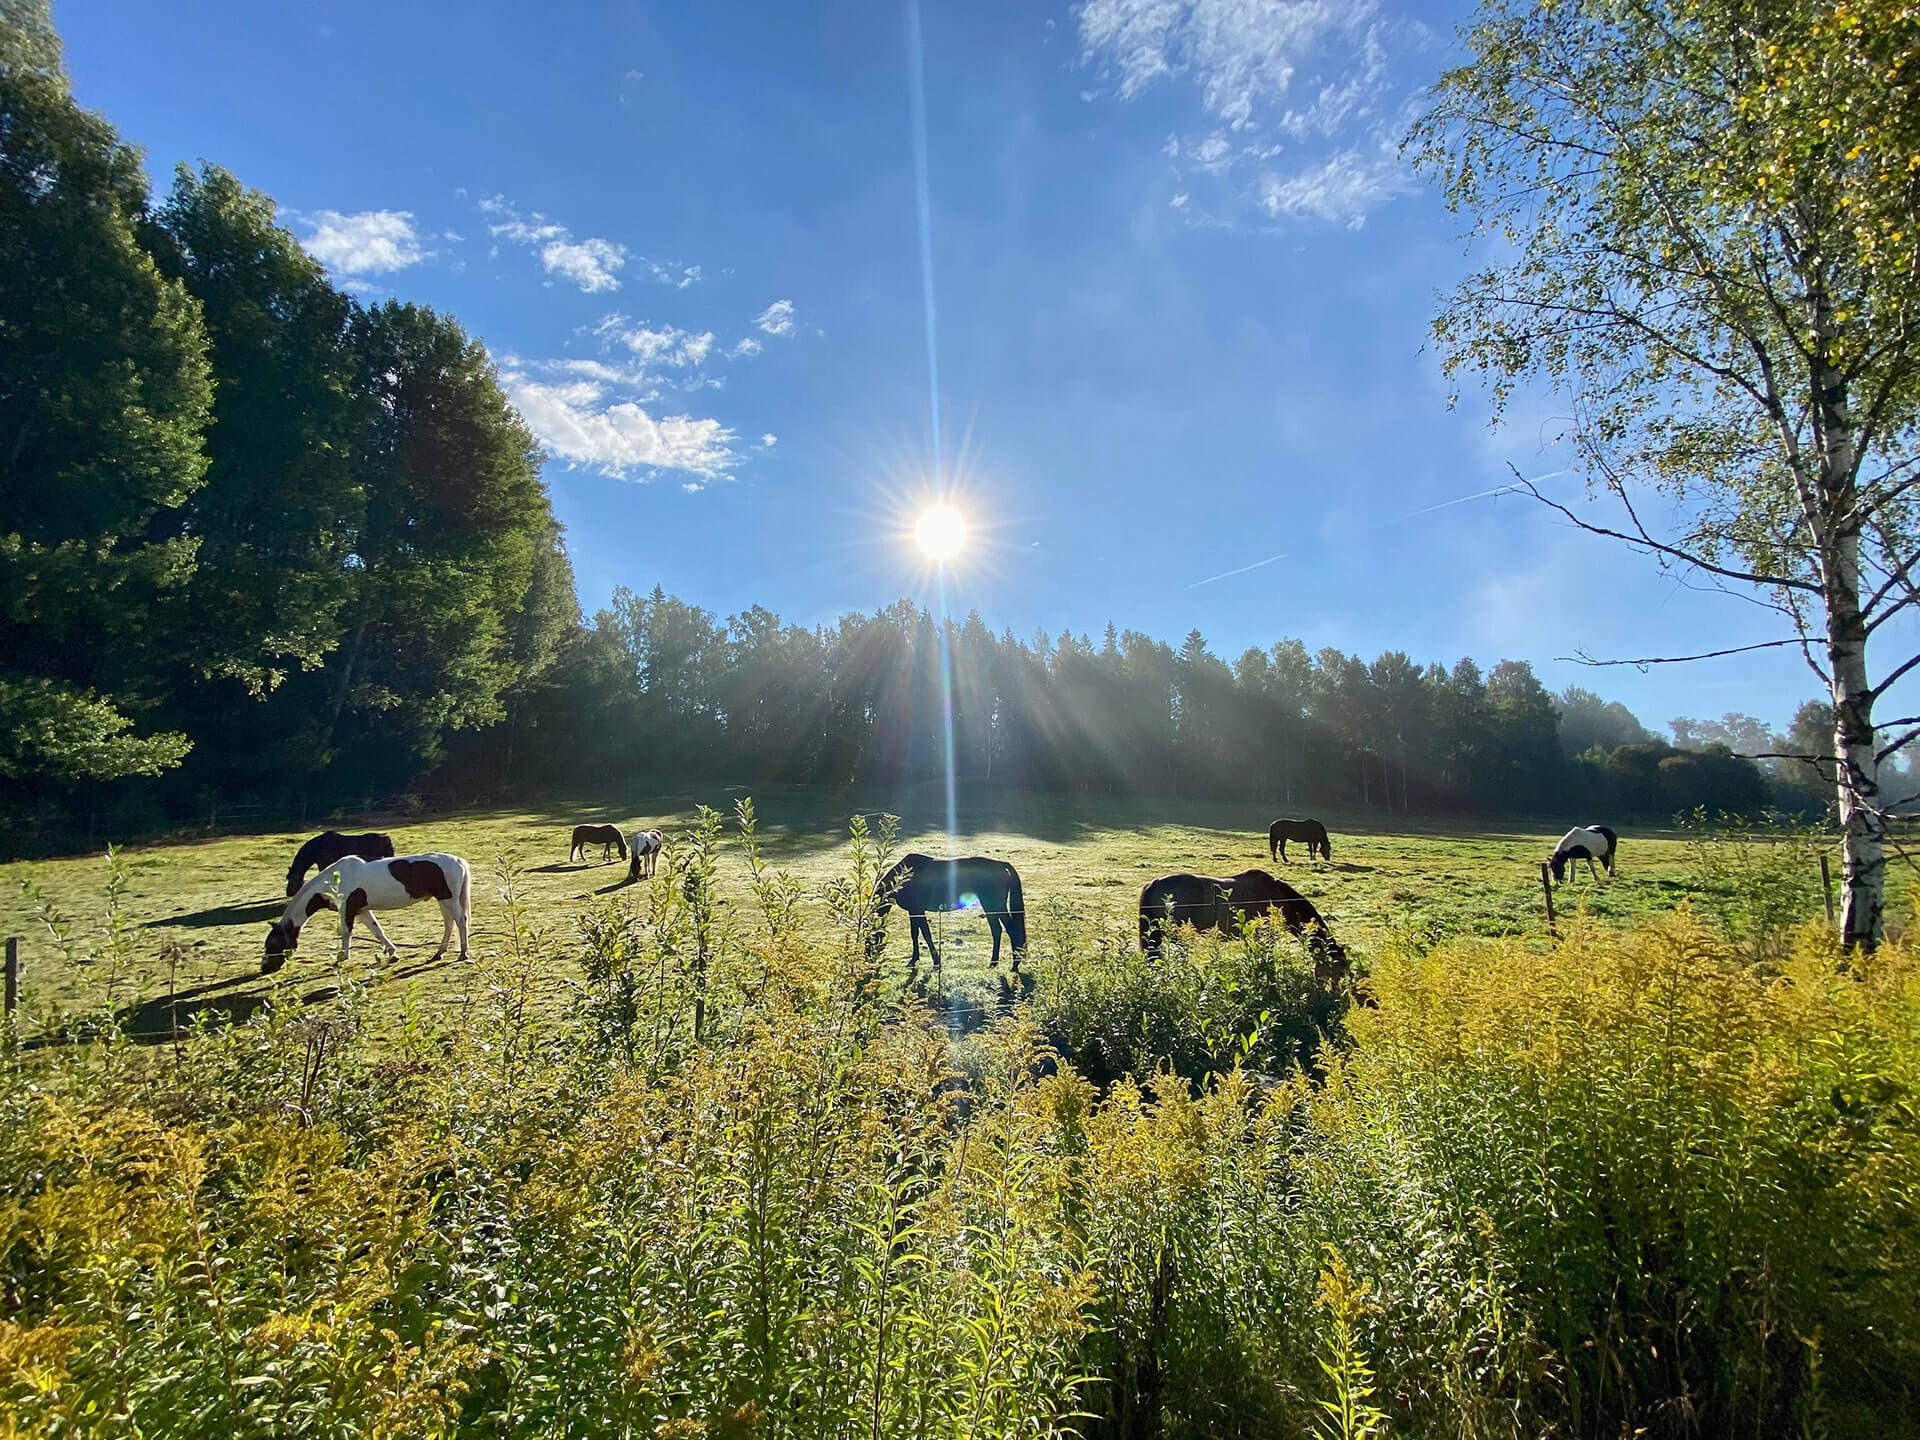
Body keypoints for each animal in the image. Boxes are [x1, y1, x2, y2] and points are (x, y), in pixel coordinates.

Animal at [266, 852, 472, 975]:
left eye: (273, 944)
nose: (265, 968)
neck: (334, 881)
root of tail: (459, 861)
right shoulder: (362, 911)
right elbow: (377, 931)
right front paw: (393, 953)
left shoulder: (347, 911)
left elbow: (346, 933)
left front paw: (342, 958)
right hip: (443, 900)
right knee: (449, 924)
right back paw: (438, 953)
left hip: (448, 899)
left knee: (460, 921)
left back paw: (463, 953)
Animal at [871, 856, 1029, 971]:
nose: (871, 959)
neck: (903, 878)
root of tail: (1002, 865)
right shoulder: (913, 911)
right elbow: (915, 934)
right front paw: (914, 960)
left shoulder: (917, 910)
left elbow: (926, 935)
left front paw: (936, 962)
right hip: (991, 906)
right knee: (997, 930)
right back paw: (995, 963)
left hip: (994, 904)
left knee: (1010, 930)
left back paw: (1014, 965)